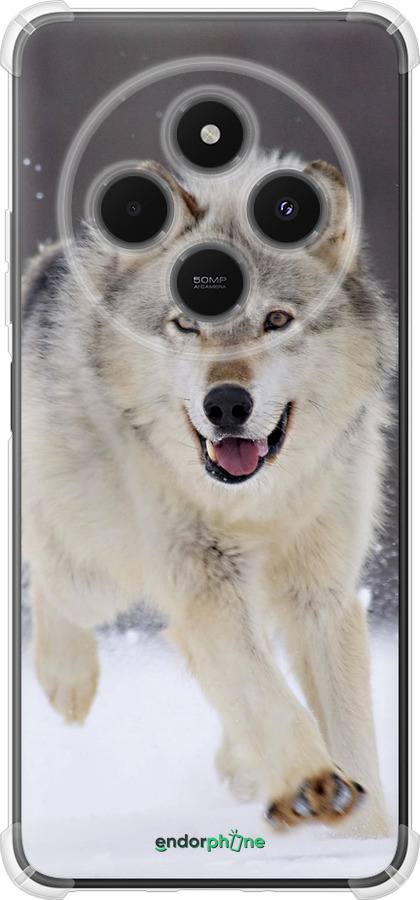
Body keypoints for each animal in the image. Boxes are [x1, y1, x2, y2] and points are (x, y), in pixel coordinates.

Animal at [22, 152, 395, 836]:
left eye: (276, 320)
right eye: (186, 324)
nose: (225, 404)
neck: (257, 503)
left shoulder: (321, 594)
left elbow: (350, 732)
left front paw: (365, 836)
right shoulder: (205, 581)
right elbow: (268, 695)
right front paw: (312, 783)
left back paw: (243, 766)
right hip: (96, 574)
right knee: (49, 572)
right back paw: (68, 679)